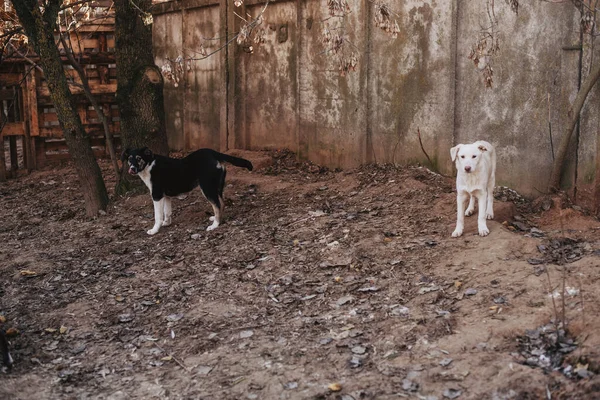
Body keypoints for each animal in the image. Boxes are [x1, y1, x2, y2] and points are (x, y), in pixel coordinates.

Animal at [122, 147, 253, 234]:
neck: (148, 164)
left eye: (139, 158)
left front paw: (154, 230)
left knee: (216, 204)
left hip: (207, 187)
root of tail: (214, 153)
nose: (132, 169)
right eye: (129, 159)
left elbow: (157, 215)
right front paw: (167, 223)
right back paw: (216, 218)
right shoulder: (166, 196)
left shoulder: (157, 195)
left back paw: (215, 225)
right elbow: (167, 212)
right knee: (221, 203)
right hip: (217, 186)